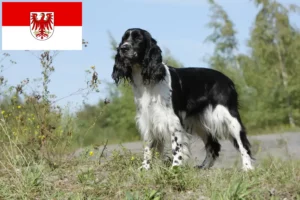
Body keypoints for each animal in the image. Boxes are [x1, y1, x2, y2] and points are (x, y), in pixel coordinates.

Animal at [111, 27, 254, 172]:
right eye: (124, 39)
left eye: (138, 39)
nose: (123, 48)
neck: (148, 81)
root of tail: (228, 80)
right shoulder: (148, 119)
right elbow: (148, 147)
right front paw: (145, 167)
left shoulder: (173, 119)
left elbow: (176, 146)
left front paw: (175, 166)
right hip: (200, 122)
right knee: (213, 145)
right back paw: (203, 166)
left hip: (230, 118)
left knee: (243, 143)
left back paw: (248, 167)